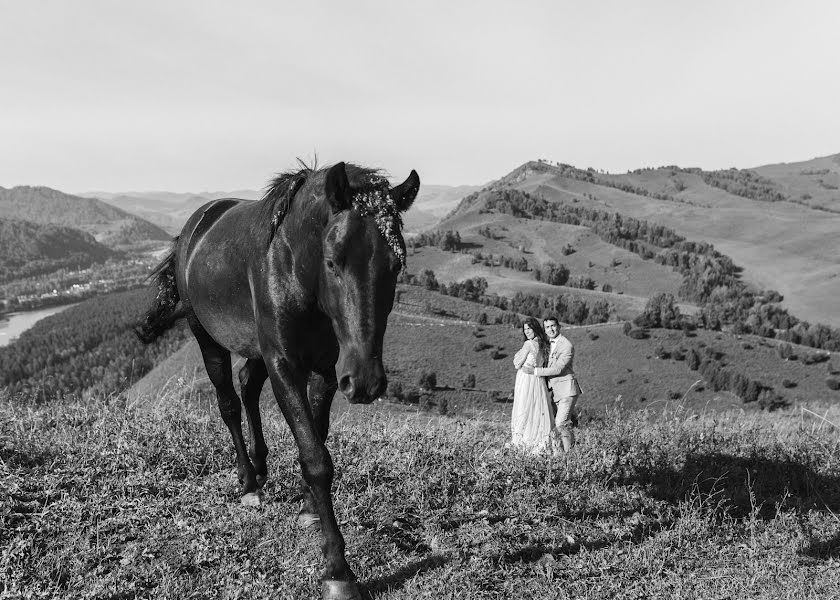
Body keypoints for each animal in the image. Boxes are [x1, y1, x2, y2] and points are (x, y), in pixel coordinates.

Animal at [137, 161, 420, 600]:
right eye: (333, 262)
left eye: (396, 265)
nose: (366, 382)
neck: (294, 269)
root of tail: (192, 229)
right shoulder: (284, 364)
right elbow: (316, 457)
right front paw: (338, 571)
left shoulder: (325, 368)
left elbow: (316, 436)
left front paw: (308, 509)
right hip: (207, 338)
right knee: (228, 402)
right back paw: (248, 482)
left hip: (255, 349)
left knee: (248, 386)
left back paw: (259, 465)